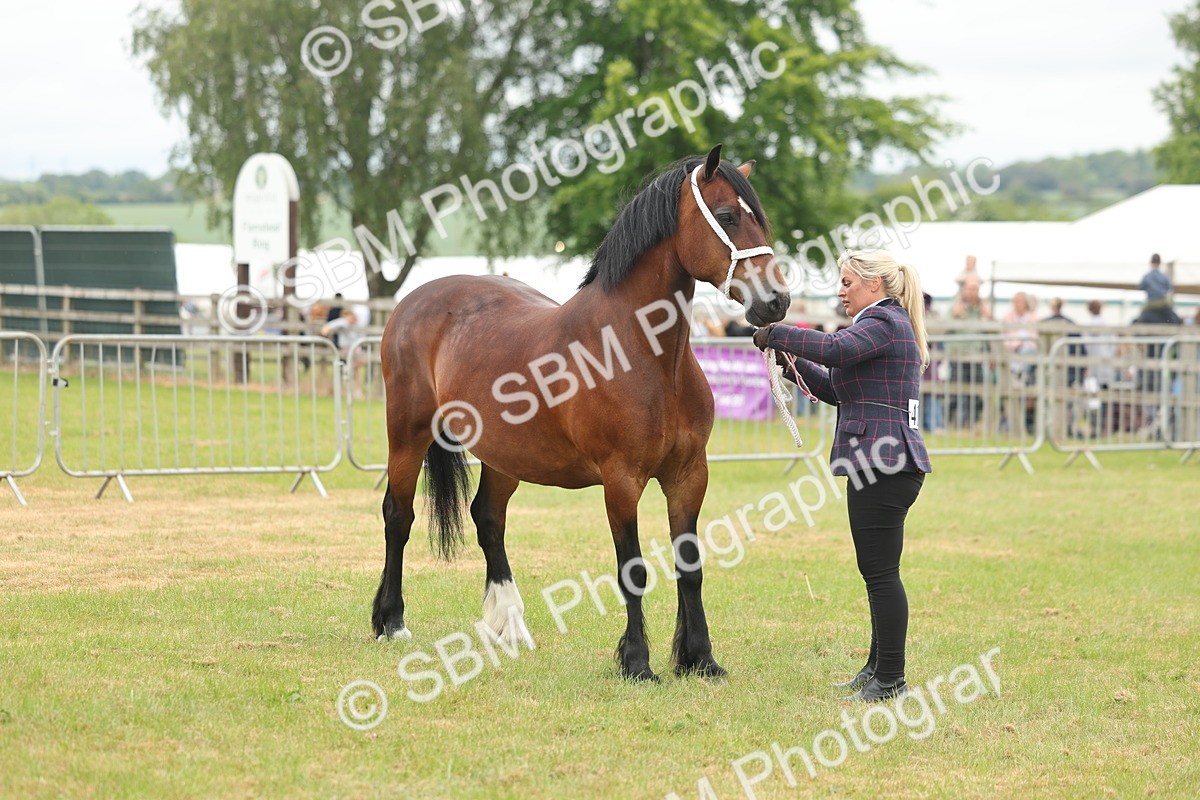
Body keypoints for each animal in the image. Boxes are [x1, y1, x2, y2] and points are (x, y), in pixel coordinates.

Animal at [372, 144, 790, 682]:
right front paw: (637, 663)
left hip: (505, 455)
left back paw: (509, 625)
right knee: (398, 516)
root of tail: (413, 301)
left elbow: (690, 566)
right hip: (408, 434)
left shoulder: (689, 475)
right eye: (727, 216)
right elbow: (633, 570)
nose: (776, 302)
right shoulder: (621, 480)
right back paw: (392, 622)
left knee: (488, 519)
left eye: (759, 219)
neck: (642, 354)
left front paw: (700, 659)